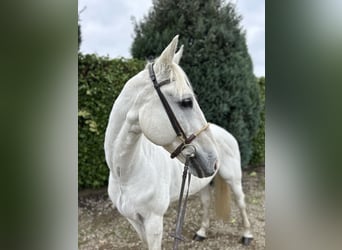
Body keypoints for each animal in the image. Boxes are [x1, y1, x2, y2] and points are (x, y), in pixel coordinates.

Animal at [103, 35, 251, 250]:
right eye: (187, 101)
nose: (213, 160)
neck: (126, 175)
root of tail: (226, 133)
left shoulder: (154, 221)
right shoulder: (134, 221)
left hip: (233, 178)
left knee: (241, 202)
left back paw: (247, 235)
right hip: (201, 182)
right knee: (206, 202)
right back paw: (201, 232)